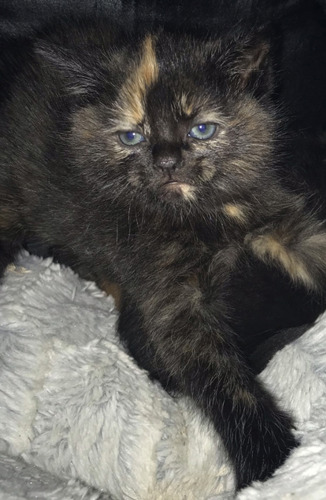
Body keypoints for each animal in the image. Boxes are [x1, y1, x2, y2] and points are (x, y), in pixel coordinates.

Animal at [0, 22, 326, 488]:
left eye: (201, 130)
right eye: (131, 136)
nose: (167, 160)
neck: (203, 217)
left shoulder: (279, 218)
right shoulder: (166, 294)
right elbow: (219, 377)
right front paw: (269, 461)